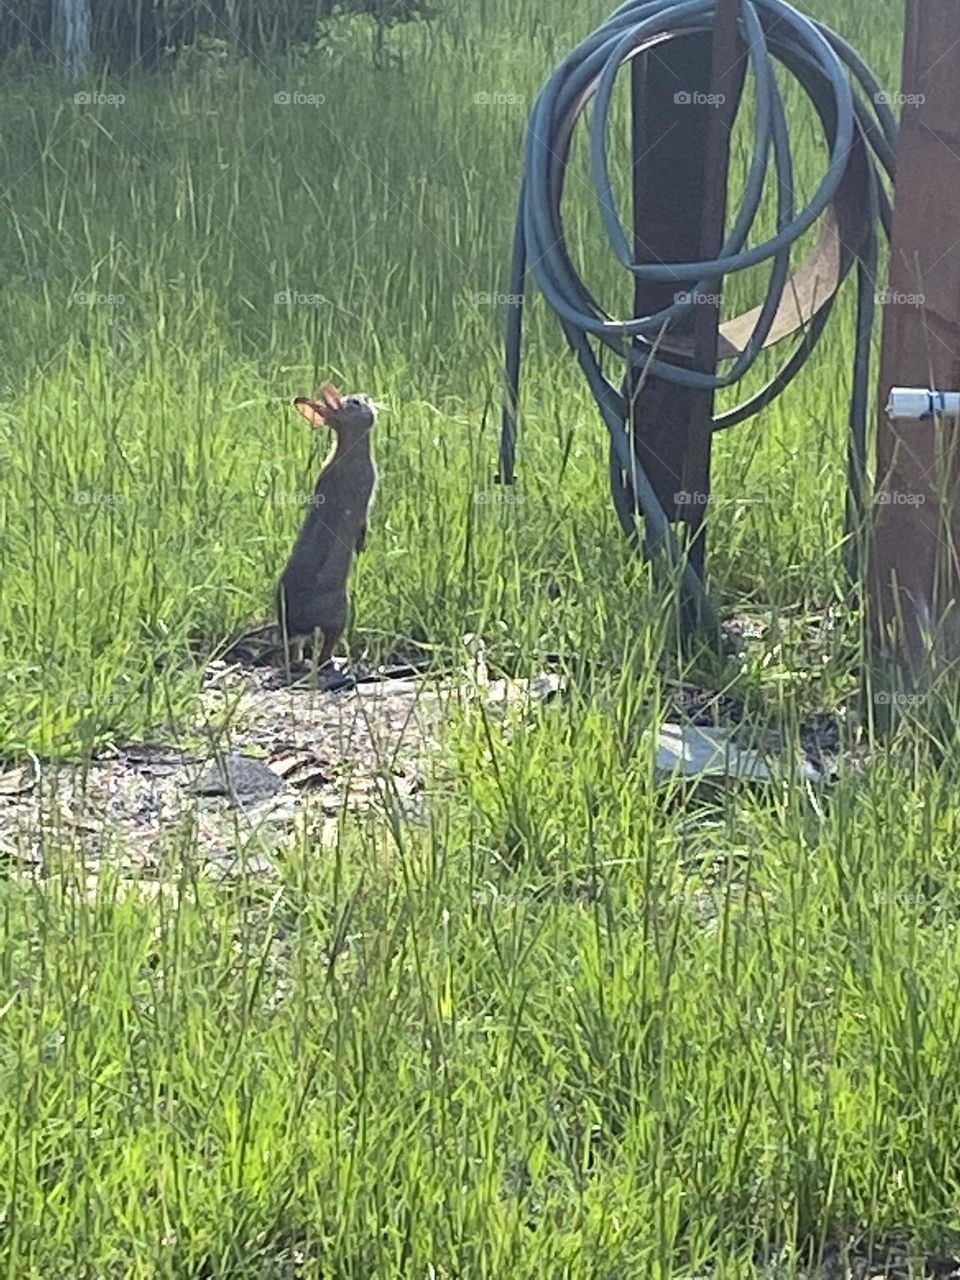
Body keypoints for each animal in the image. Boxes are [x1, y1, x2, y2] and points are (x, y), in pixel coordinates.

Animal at [276, 381, 379, 670]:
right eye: (355, 403)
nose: (368, 397)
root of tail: (300, 621)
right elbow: (363, 521)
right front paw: (361, 546)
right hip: (340, 612)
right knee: (325, 647)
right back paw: (335, 660)